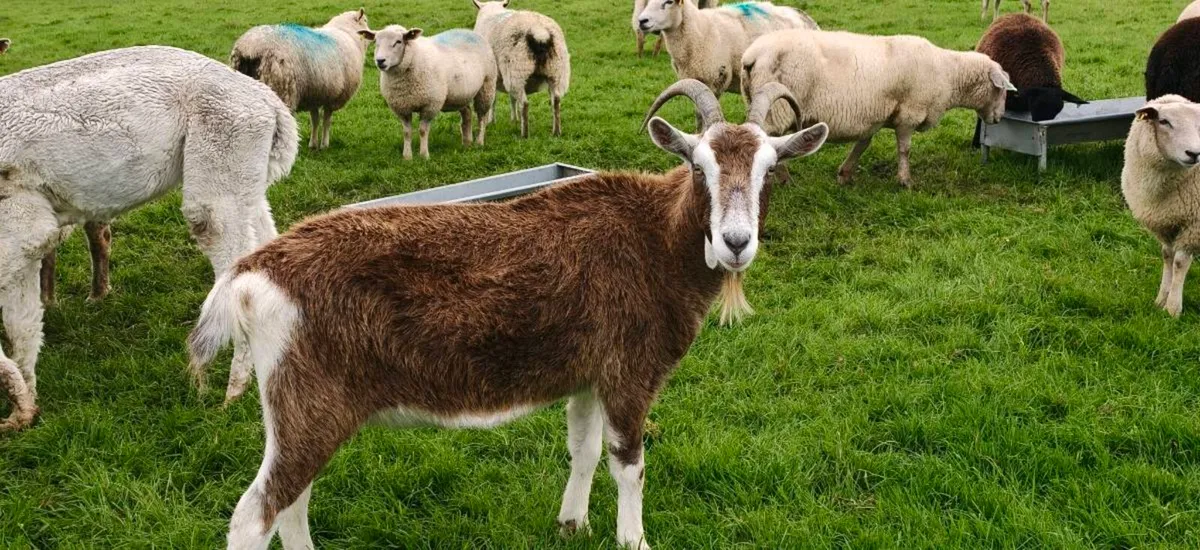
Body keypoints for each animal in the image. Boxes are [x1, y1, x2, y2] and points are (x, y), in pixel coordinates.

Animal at [188, 79, 829, 549]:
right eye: (699, 167)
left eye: (770, 170)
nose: (736, 242)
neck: (654, 238)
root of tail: (256, 271)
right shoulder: (630, 371)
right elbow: (629, 464)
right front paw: (634, 540)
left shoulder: (588, 374)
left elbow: (584, 449)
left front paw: (572, 524)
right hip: (310, 402)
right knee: (257, 513)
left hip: (298, 407)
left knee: (292, 503)